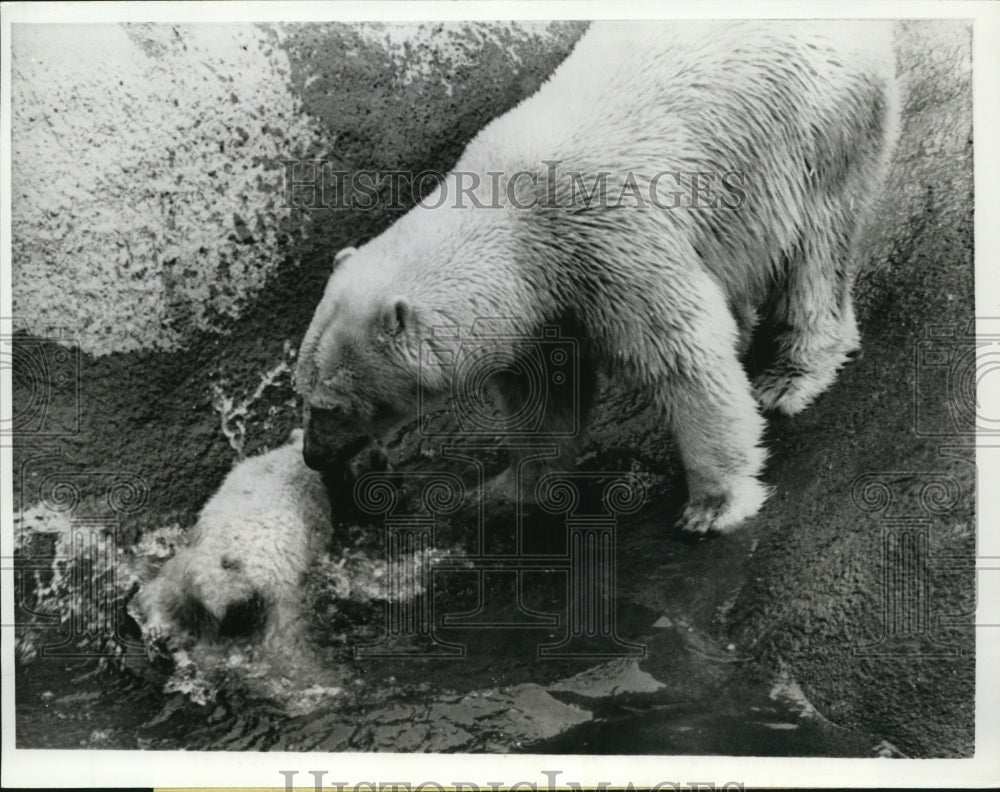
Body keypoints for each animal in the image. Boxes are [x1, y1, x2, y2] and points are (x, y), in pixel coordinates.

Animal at [292, 21, 896, 532]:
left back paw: (790, 374)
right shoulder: (546, 305)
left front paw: (713, 504)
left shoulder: (610, 244)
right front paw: (505, 492)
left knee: (816, 246)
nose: (312, 455)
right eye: (303, 391)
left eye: (331, 404)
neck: (516, 224)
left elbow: (683, 353)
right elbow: (545, 395)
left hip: (813, 125)